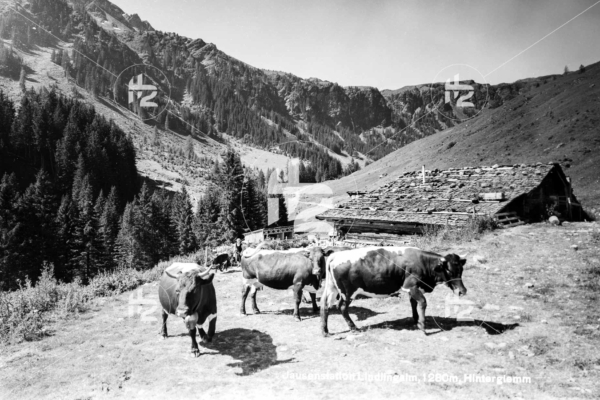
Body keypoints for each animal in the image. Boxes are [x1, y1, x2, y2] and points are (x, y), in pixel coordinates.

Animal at [320, 246, 467, 337]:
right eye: (449, 270)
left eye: (461, 269)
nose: (462, 291)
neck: (423, 262)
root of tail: (337, 255)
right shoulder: (411, 286)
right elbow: (422, 302)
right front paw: (422, 326)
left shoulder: (412, 289)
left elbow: (413, 303)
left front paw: (416, 320)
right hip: (347, 292)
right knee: (342, 307)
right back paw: (353, 328)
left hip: (332, 289)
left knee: (325, 306)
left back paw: (325, 331)